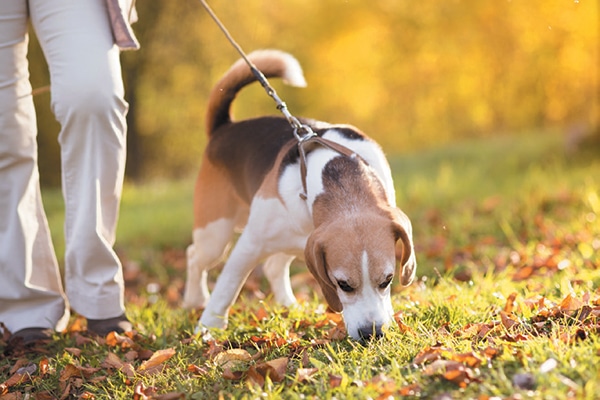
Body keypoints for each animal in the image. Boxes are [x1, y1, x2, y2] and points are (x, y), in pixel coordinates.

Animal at [183, 48, 418, 340]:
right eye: (343, 284)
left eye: (387, 280)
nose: (371, 333)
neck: (341, 179)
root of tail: (225, 128)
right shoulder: (249, 245)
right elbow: (226, 289)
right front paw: (207, 329)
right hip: (214, 235)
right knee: (194, 256)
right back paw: (194, 300)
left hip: (291, 241)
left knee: (273, 266)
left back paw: (288, 305)